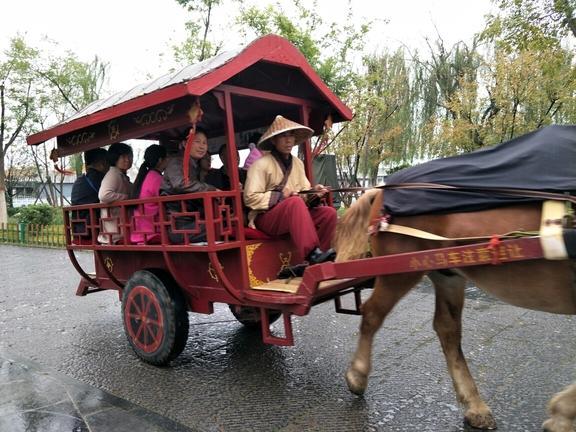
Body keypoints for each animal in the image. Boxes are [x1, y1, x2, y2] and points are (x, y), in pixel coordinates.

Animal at [332, 189, 576, 432]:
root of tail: (380, 190)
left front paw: (561, 415)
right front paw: (561, 413)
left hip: (446, 272)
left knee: (446, 328)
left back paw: (475, 405)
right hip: (399, 271)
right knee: (373, 313)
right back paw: (357, 375)